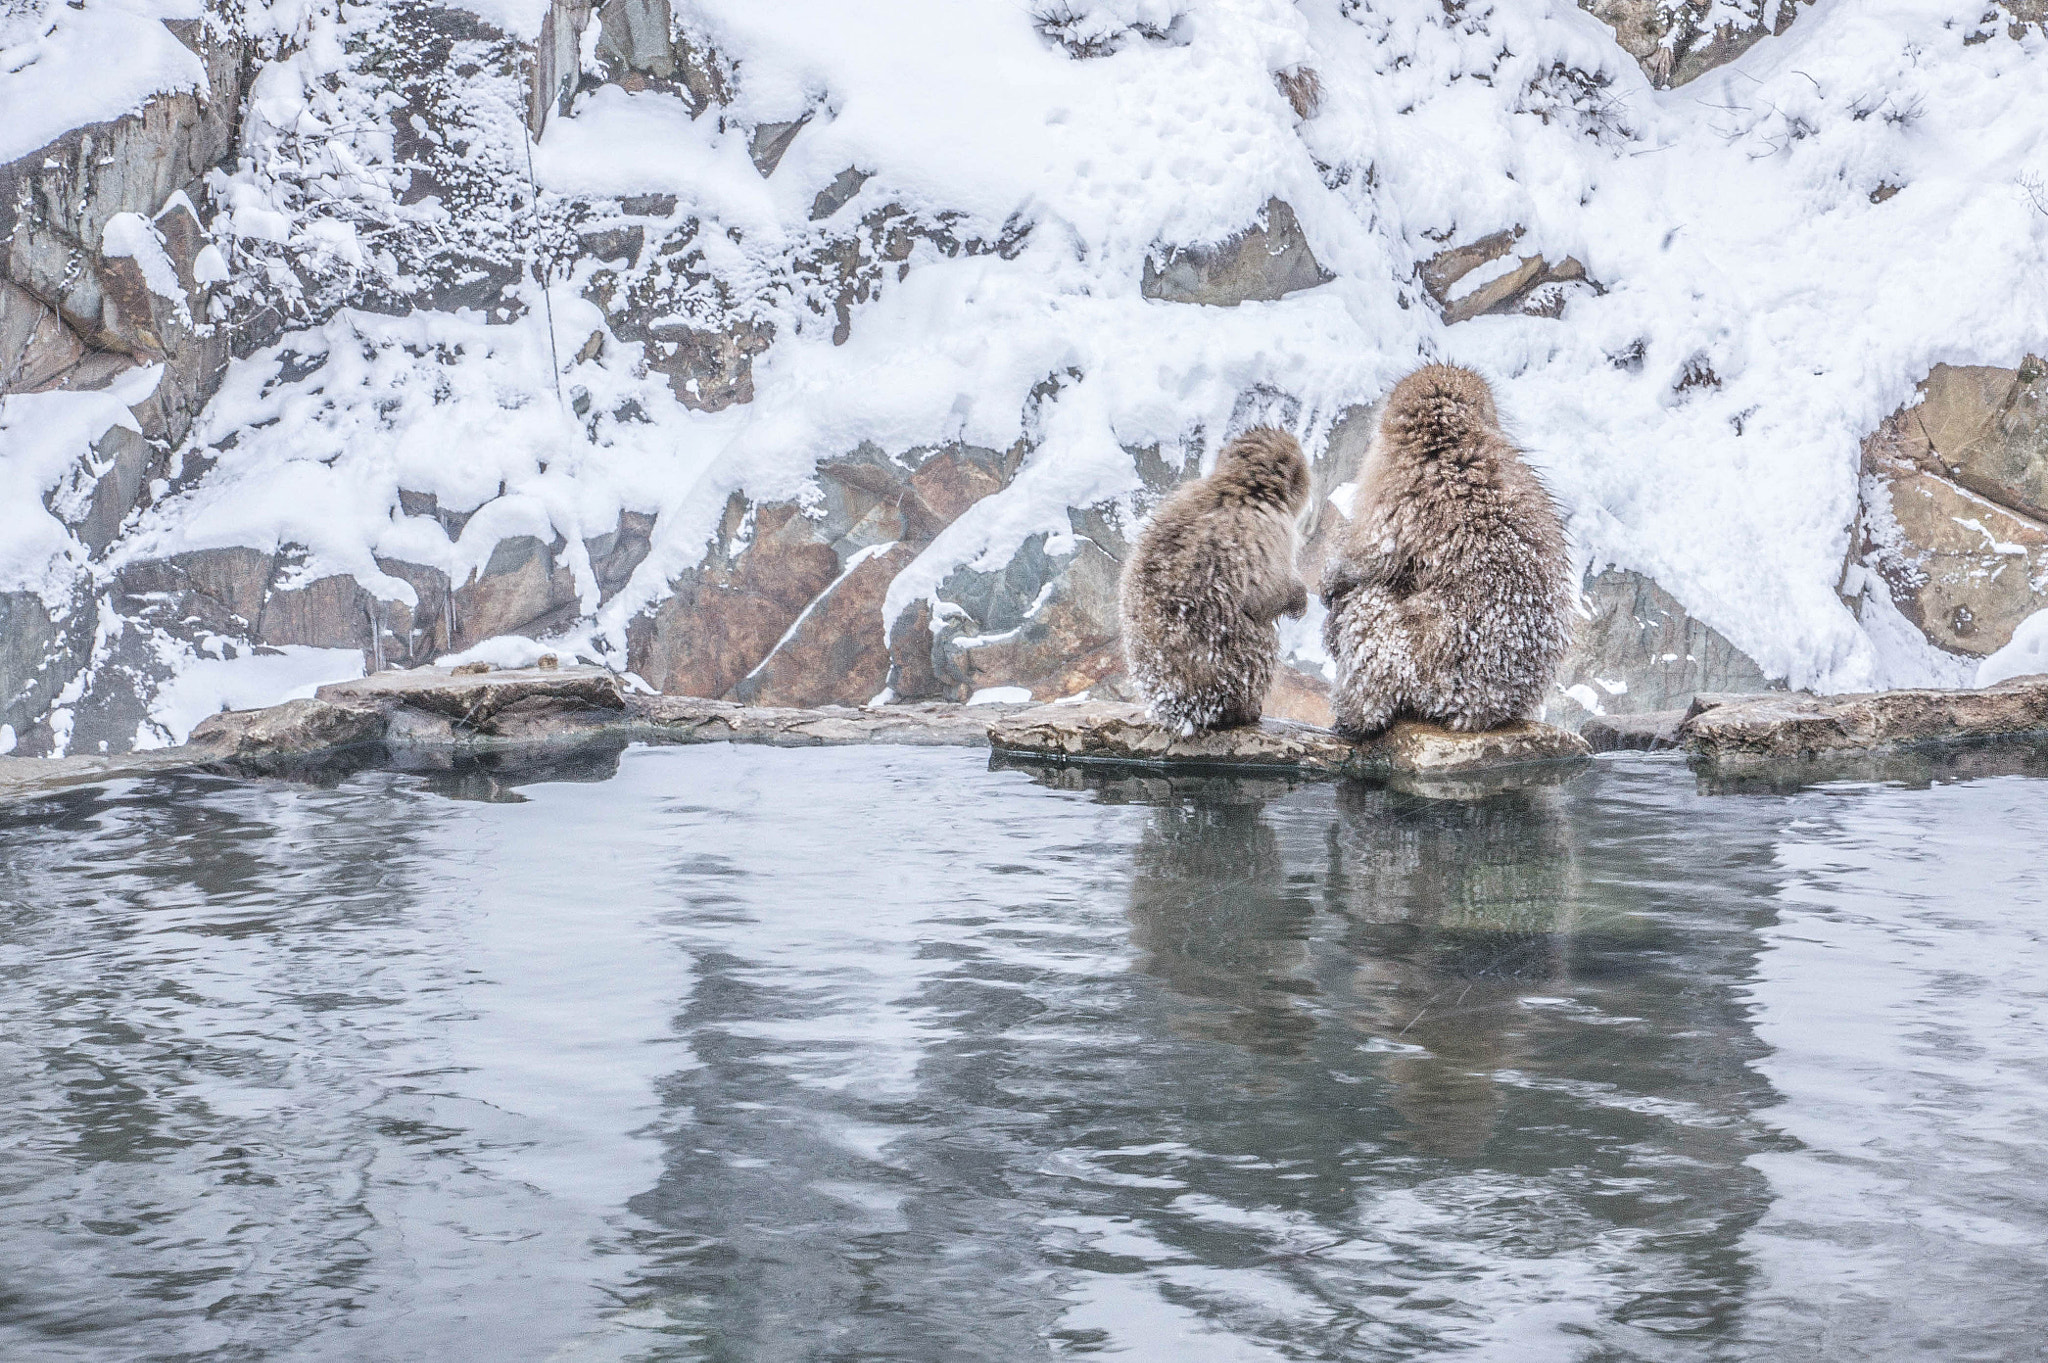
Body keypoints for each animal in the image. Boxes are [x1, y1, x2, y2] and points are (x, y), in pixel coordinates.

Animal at [1122, 427, 1310, 732]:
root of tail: (1181, 710)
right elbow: (1264, 595)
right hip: (1236, 671)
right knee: (1261, 635)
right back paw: (1246, 711)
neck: (1236, 486)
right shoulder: (1268, 526)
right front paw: (1297, 598)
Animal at [1310, 364, 1564, 732]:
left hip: (1420, 671)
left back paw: (1357, 714)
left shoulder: (1397, 483)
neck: (1449, 439)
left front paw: (1333, 579)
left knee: (1369, 602)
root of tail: (1488, 709)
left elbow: (1373, 556)